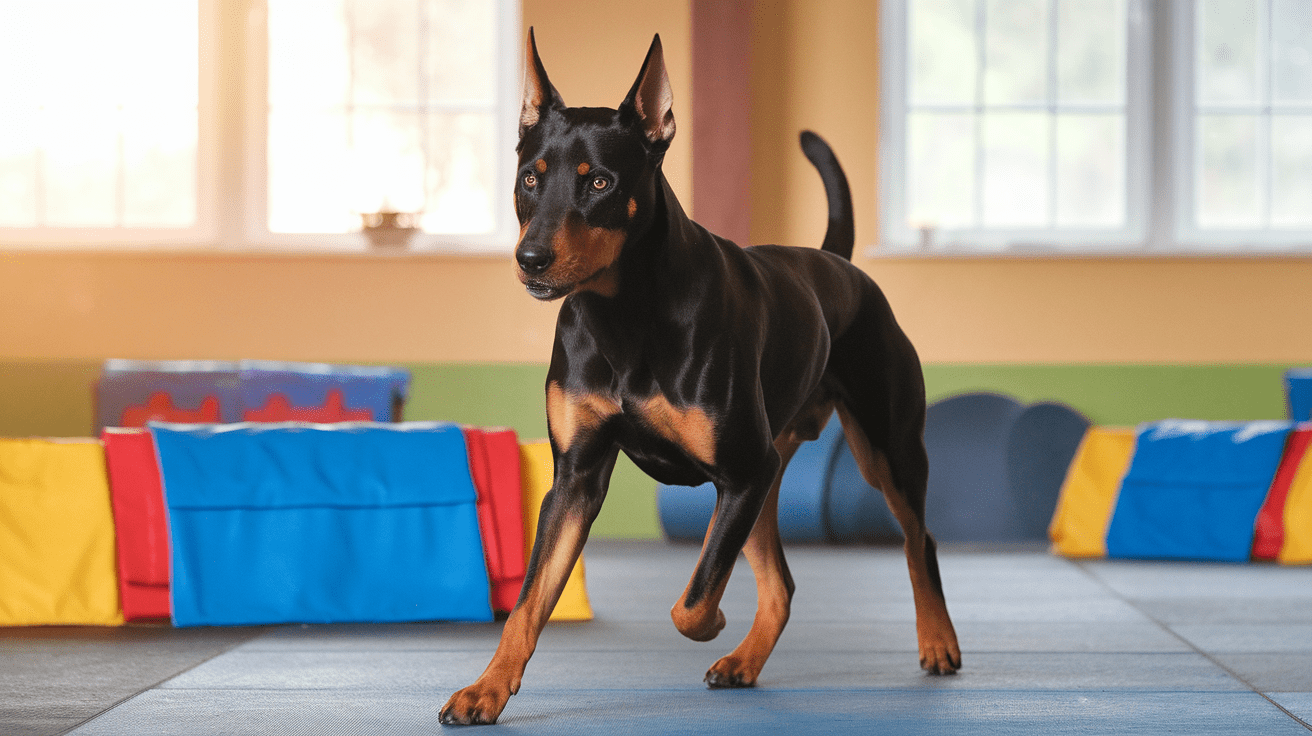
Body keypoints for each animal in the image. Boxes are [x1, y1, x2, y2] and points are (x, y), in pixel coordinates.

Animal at [440, 30, 965, 724]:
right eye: (531, 177)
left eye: (599, 181)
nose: (530, 259)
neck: (623, 315)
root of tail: (838, 265)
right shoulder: (577, 477)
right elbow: (528, 604)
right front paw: (486, 690)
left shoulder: (741, 470)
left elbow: (690, 600)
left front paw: (712, 622)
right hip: (771, 474)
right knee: (782, 584)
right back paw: (745, 661)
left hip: (880, 451)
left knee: (917, 541)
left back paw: (937, 642)